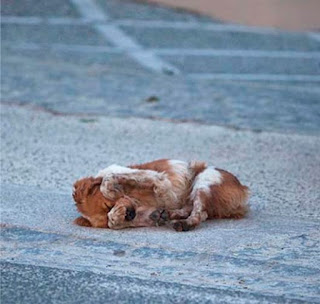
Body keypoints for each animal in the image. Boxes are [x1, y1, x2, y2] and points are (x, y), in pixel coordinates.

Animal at [72, 159, 250, 230]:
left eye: (108, 205)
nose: (129, 214)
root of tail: (243, 189)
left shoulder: (159, 179)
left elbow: (107, 181)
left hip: (204, 180)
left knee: (199, 212)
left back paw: (184, 223)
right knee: (199, 211)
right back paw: (170, 215)